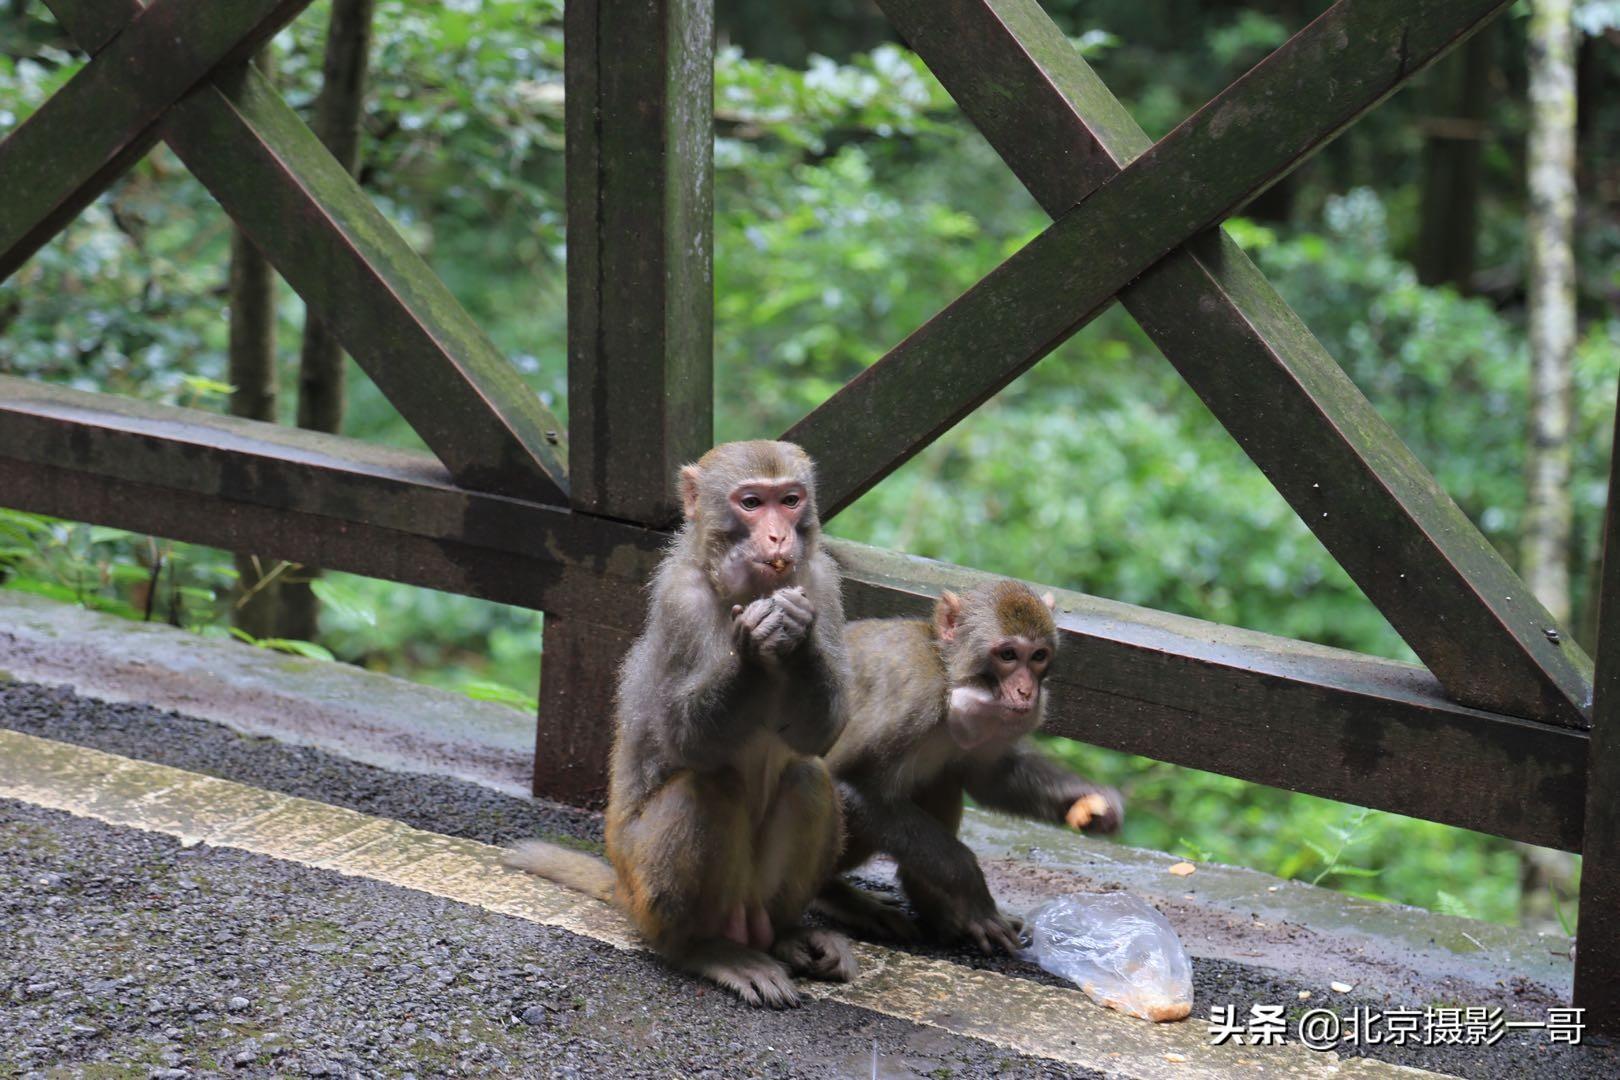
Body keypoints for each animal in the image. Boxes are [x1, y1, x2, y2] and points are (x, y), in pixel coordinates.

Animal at [505, 437, 861, 1003]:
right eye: (751, 504)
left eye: (790, 500)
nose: (778, 536)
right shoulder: (680, 600)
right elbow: (684, 742)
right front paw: (752, 645)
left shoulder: (823, 584)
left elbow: (818, 736)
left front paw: (796, 633)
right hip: (649, 890)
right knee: (707, 787)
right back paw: (702, 950)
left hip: (756, 895)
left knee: (807, 777)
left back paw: (789, 936)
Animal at [816, 582, 1121, 952]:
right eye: (1008, 655)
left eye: (1038, 656)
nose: (1026, 692)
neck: (948, 679)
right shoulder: (911, 695)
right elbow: (845, 781)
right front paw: (973, 886)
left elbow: (988, 778)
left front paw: (1089, 801)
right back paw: (835, 896)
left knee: (942, 778)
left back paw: (934, 908)